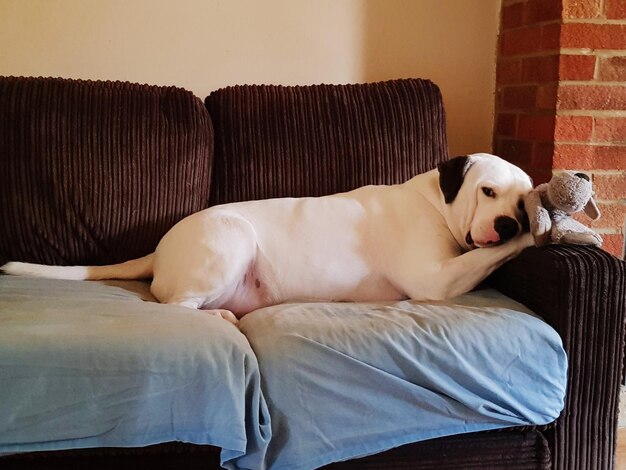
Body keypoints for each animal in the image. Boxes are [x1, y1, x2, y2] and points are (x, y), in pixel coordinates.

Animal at [2, 153, 532, 324]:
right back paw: (216, 315)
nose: (510, 223)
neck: (436, 202)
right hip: (233, 239)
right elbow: (496, 255)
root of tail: (161, 245)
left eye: (523, 202)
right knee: (175, 306)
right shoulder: (436, 281)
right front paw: (543, 236)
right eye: (488, 191)